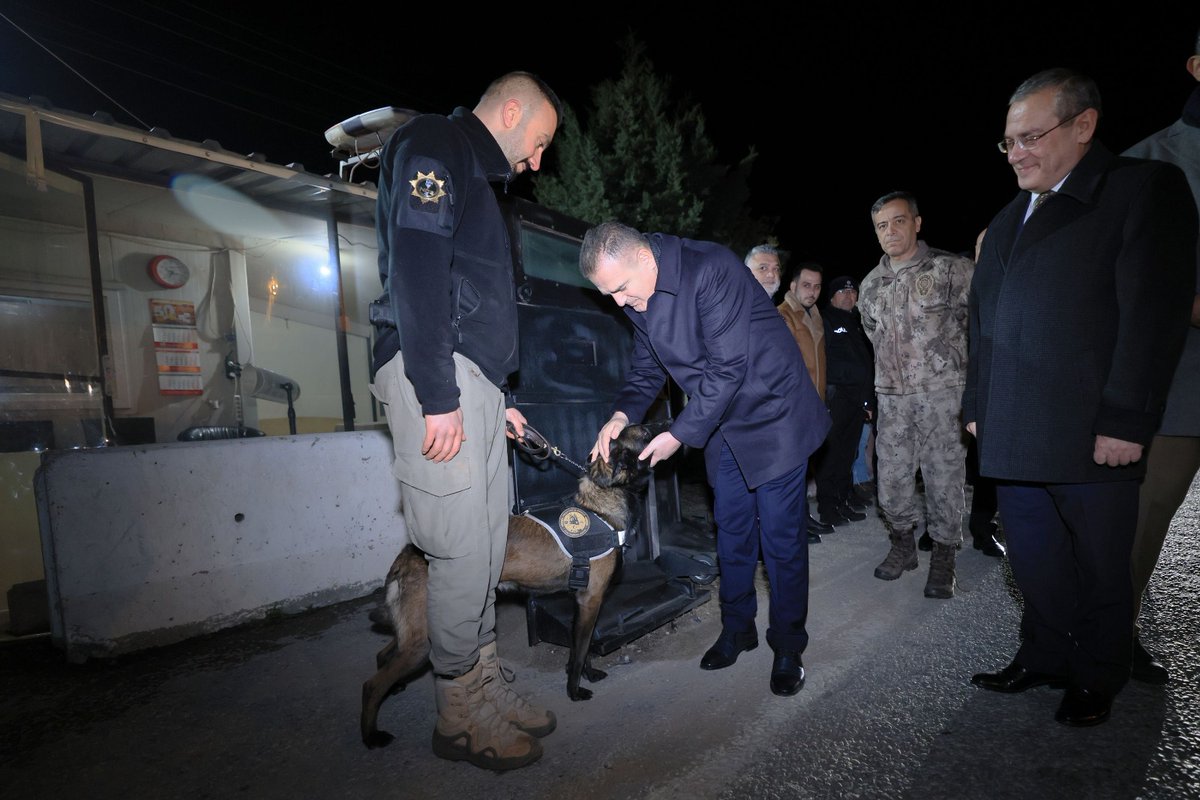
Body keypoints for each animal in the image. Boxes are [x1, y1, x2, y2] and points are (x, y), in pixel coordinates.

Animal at [360, 422, 657, 748]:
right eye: (643, 433)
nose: (664, 425)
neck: (601, 509)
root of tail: (406, 553)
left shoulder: (581, 602)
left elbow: (584, 646)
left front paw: (588, 675)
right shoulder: (590, 600)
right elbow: (579, 652)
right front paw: (575, 691)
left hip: (415, 630)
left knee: (383, 654)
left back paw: (395, 688)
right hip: (423, 640)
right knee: (371, 685)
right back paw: (371, 735)